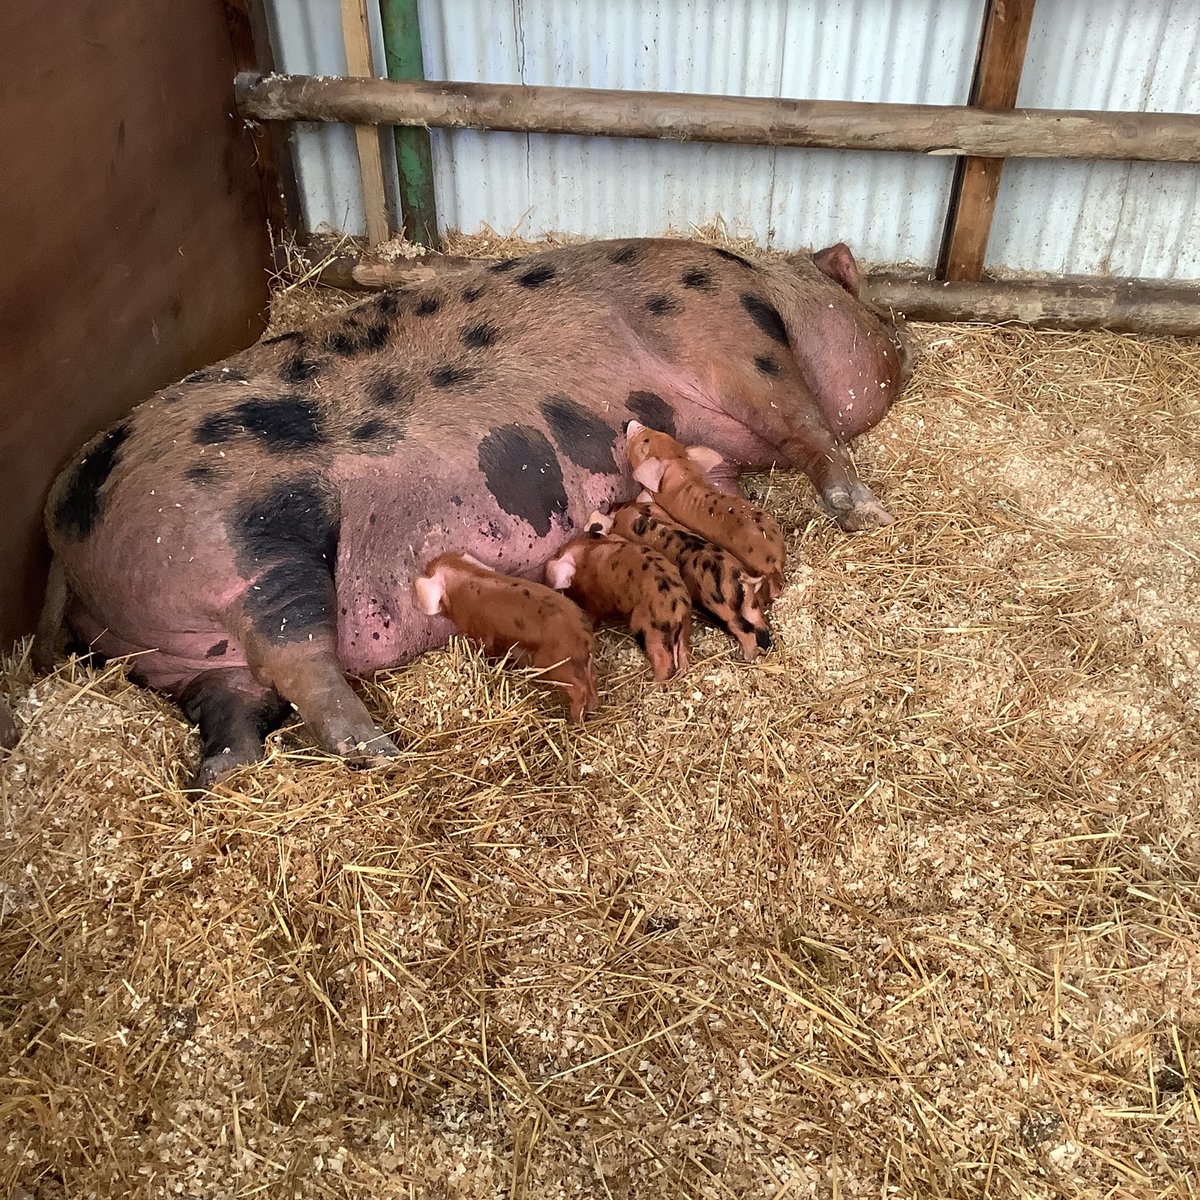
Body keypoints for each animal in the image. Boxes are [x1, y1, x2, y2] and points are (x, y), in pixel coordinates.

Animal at [414, 553, 597, 721]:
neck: (461, 585)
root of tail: (584, 636)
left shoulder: (484, 635)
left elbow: (488, 652)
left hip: (555, 664)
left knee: (579, 689)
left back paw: (573, 719)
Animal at [545, 534, 691, 680]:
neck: (587, 552)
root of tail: (678, 609)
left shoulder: (595, 601)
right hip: (683, 630)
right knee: (683, 654)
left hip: (648, 626)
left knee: (662, 657)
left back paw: (655, 681)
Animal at [589, 501, 771, 661]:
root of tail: (740, 576)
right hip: (750, 604)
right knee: (760, 626)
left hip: (721, 607)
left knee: (744, 630)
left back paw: (745, 657)